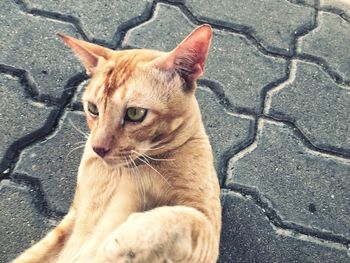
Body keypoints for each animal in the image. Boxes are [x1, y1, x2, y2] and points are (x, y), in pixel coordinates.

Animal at [13, 23, 223, 262]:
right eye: (93, 109)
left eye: (135, 113)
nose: (98, 148)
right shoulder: (72, 218)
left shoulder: (208, 228)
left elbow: (189, 218)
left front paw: (124, 240)